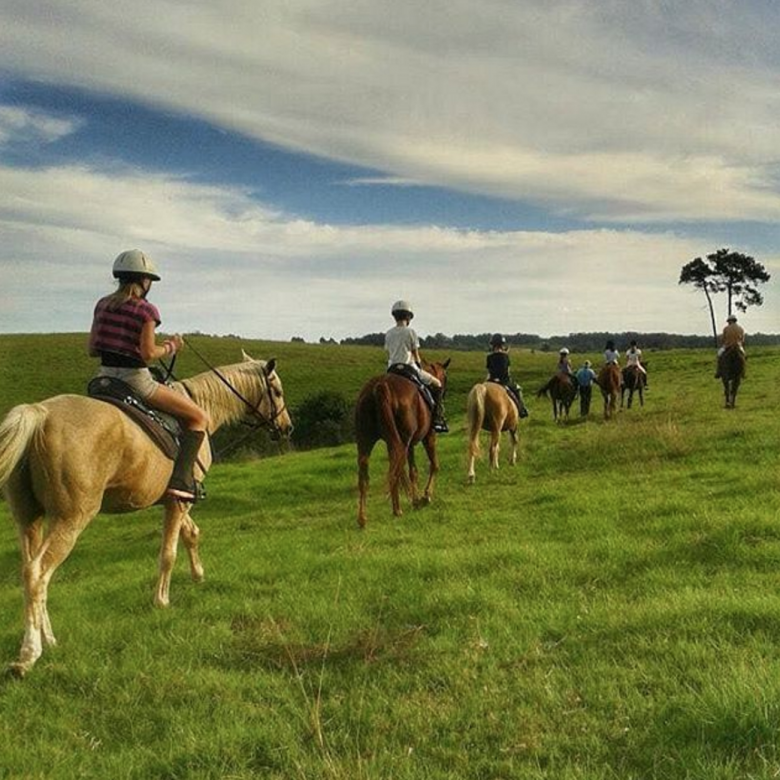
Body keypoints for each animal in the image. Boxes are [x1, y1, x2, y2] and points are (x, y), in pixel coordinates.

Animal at [0, 350, 290, 672]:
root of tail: (40, 413)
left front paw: (198, 575)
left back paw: (48, 639)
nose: (287, 427)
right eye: (277, 391)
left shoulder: (177, 498)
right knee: (38, 572)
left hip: (29, 519)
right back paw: (29, 654)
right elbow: (168, 553)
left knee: (31, 572)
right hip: (70, 519)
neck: (201, 405)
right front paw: (162, 600)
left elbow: (191, 534)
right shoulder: (179, 502)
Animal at [354, 362, 448, 528]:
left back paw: (362, 518)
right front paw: (425, 496)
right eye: (445, 379)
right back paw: (397, 510)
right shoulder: (428, 436)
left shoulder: (407, 445)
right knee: (395, 472)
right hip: (402, 442)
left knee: (365, 476)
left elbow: (413, 471)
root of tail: (381, 385)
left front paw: (416, 499)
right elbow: (434, 465)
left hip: (366, 442)